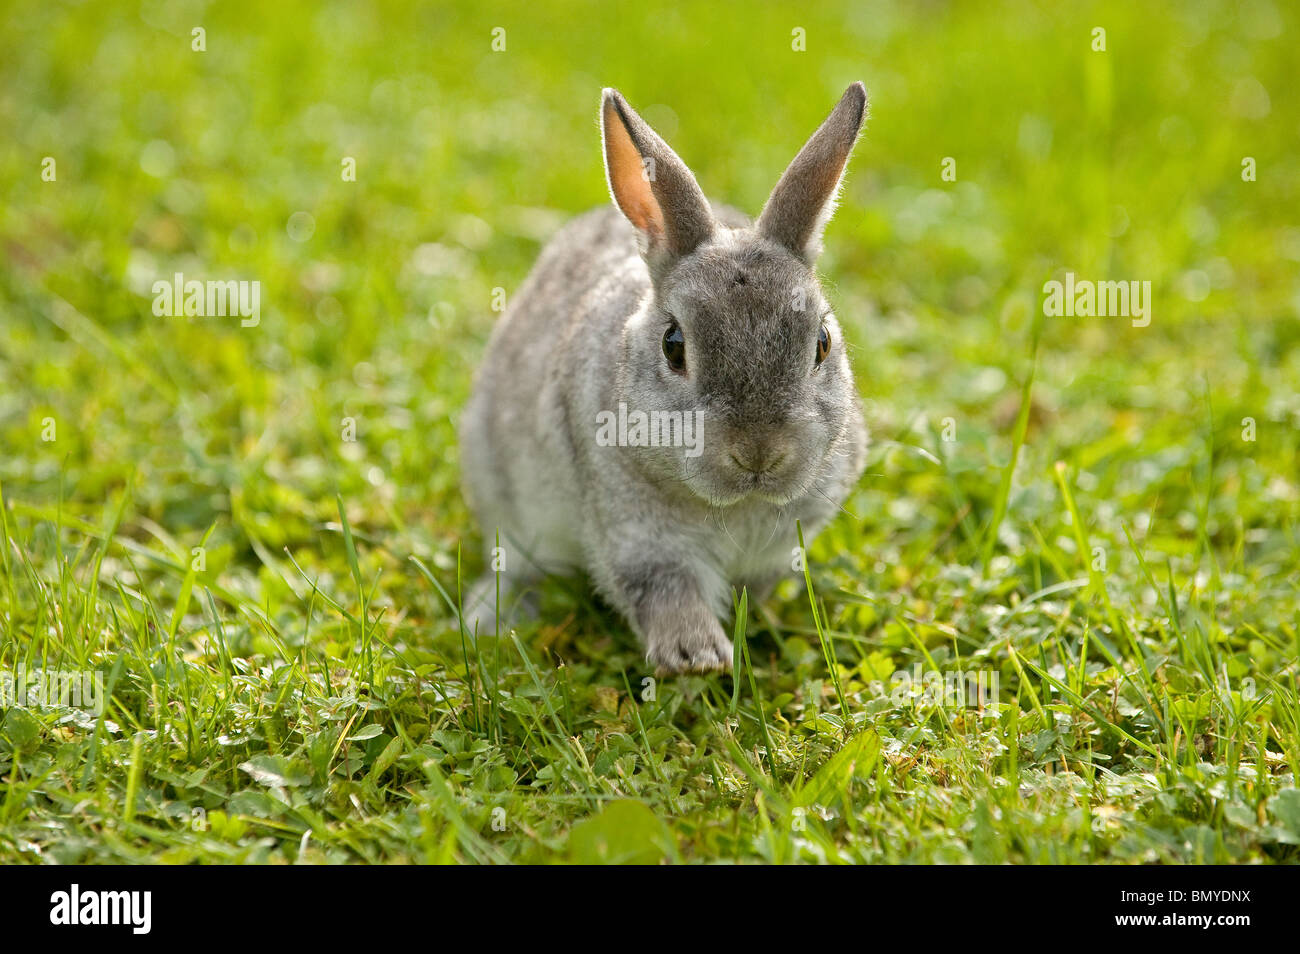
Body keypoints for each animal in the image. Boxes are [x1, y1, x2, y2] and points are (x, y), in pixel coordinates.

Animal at [459, 83, 869, 674]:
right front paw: (695, 654)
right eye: (673, 347)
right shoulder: (636, 533)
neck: (735, 505)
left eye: (822, 343)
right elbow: (663, 588)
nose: (759, 453)